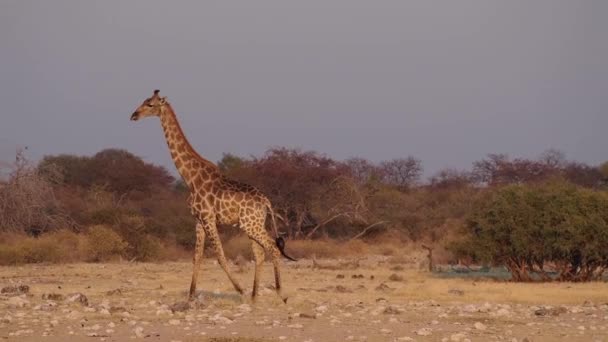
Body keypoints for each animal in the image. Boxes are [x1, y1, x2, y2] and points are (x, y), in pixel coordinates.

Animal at [129, 89, 296, 302]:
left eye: (150, 104)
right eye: (144, 101)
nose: (134, 115)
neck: (190, 177)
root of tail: (266, 201)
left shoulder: (208, 218)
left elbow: (220, 256)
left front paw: (239, 290)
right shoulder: (198, 220)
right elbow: (197, 256)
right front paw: (191, 296)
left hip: (250, 225)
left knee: (273, 248)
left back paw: (279, 293)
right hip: (253, 224)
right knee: (260, 253)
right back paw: (254, 296)